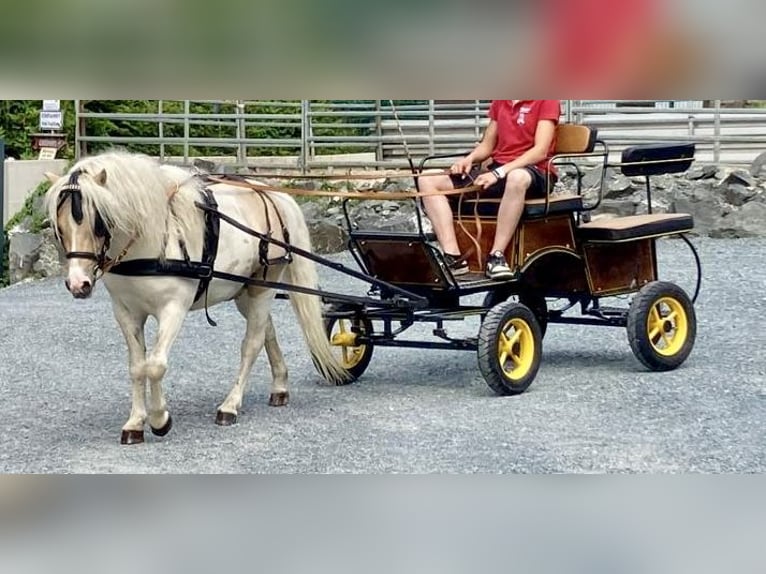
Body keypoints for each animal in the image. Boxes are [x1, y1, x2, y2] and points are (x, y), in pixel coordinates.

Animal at [43, 152, 350, 446]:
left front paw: (159, 419)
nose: (78, 284)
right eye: (60, 227)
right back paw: (280, 387)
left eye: (98, 221)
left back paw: (230, 405)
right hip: (244, 290)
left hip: (263, 286)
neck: (150, 241)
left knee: (251, 344)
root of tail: (273, 195)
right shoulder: (126, 312)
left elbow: (155, 366)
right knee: (266, 332)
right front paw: (135, 422)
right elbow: (137, 367)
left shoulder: (173, 308)